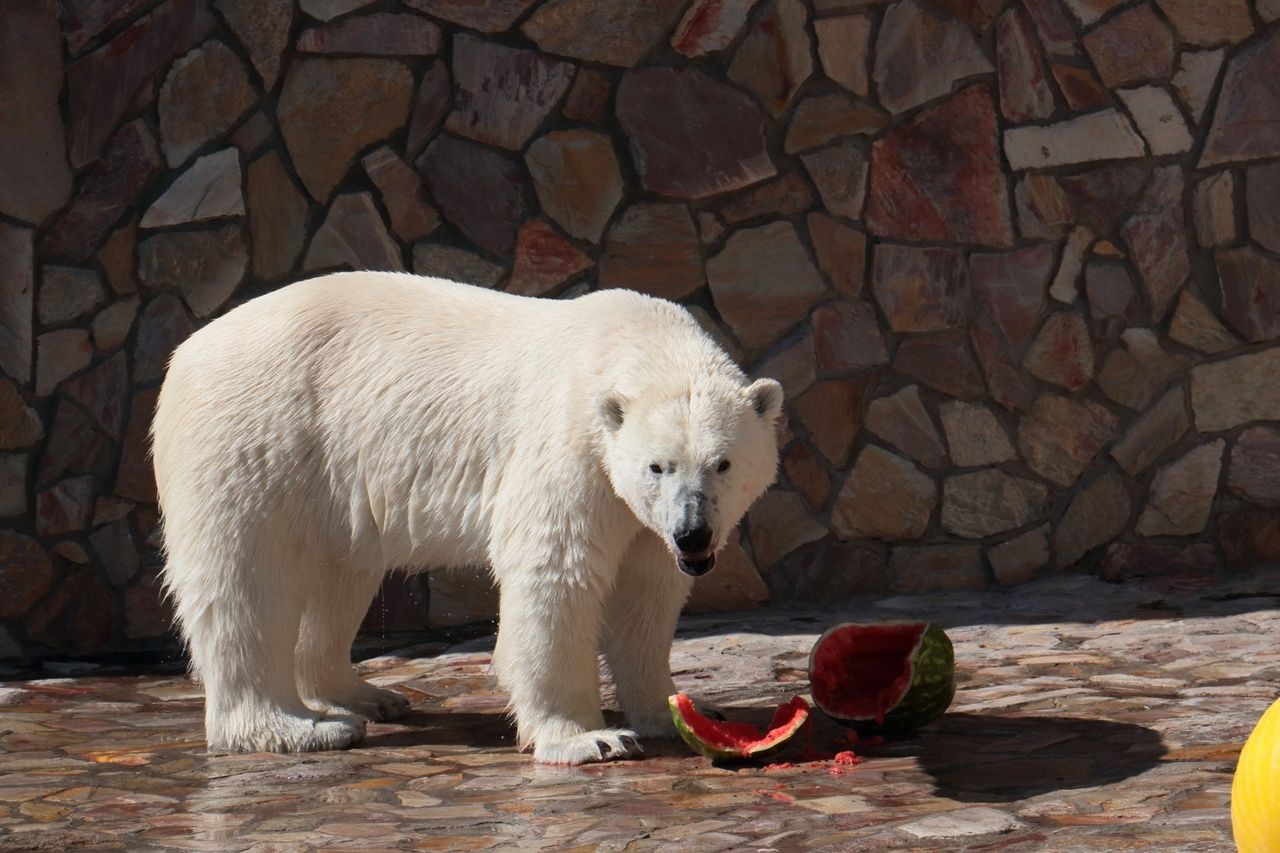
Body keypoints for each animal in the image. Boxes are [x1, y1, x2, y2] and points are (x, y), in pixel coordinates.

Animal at [154, 272, 783, 763]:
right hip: (256, 436)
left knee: (340, 581)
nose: (694, 534)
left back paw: (365, 696)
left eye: (723, 463)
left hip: (329, 483)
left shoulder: (641, 518)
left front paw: (675, 711)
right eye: (657, 465)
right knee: (246, 583)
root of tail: (185, 353)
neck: (630, 340)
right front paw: (588, 738)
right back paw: (297, 728)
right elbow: (556, 571)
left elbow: (646, 591)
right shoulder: (569, 447)